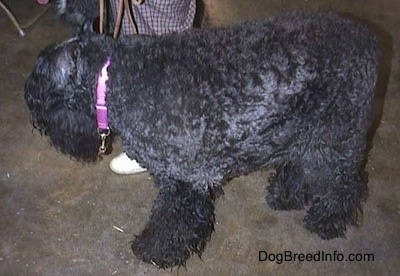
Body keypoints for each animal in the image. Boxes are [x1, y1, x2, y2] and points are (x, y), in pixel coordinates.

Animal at [25, 11, 382, 268]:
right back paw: (286, 194)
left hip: (336, 135)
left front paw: (155, 250)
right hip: (301, 130)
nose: (31, 107)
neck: (115, 79)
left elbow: (172, 218)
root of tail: (369, 39)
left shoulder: (180, 179)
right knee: (304, 165)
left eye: (40, 84)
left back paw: (327, 220)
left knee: (344, 182)